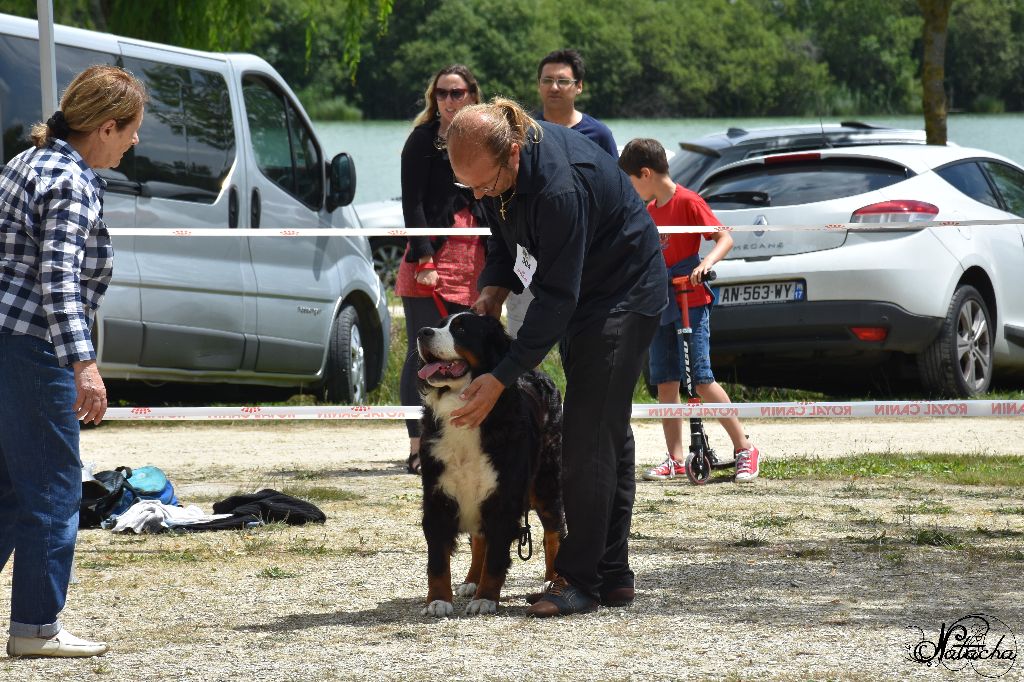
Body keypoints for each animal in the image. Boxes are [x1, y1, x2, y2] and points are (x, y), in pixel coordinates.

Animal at [413, 311, 561, 614]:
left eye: (460, 329)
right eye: (440, 324)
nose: (423, 332)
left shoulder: (503, 496)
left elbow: (496, 557)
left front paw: (486, 598)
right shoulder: (437, 494)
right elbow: (438, 560)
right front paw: (438, 601)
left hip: (545, 482)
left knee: (553, 532)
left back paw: (551, 581)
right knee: (480, 540)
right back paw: (471, 581)